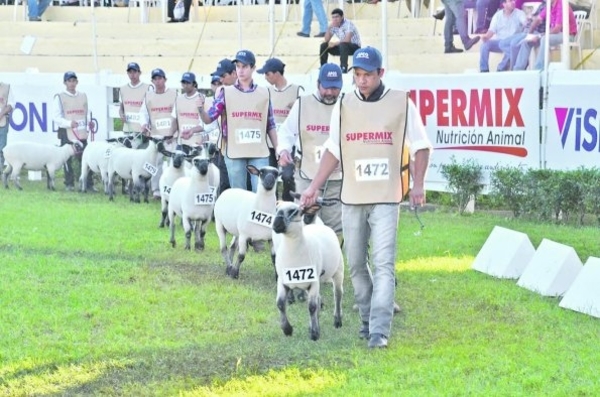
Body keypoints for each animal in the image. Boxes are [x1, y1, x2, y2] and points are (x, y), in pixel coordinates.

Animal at [270, 201, 342, 340]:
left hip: (338, 271)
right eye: (276, 209)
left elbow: (312, 307)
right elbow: (280, 304)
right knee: (319, 299)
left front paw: (314, 334)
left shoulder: (313, 282)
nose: (276, 224)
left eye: (293, 211)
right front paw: (287, 329)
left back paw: (337, 321)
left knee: (337, 295)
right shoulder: (283, 280)